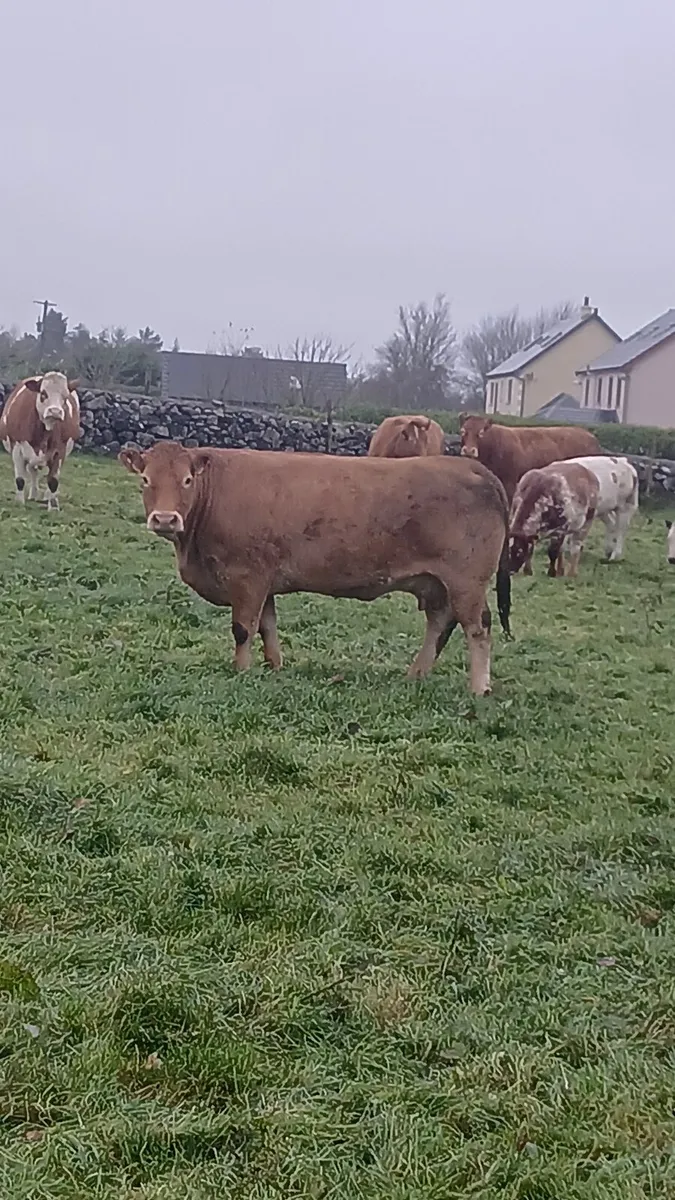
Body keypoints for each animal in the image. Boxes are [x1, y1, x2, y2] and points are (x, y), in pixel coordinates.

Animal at [0, 372, 81, 510]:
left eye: (65, 397)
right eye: (43, 393)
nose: (55, 411)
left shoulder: (60, 450)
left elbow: (53, 480)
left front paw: (53, 506)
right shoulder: (16, 446)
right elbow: (20, 479)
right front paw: (19, 502)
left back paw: (47, 496)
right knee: (33, 472)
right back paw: (33, 494)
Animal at [119, 440, 512, 695]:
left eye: (187, 480)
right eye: (145, 480)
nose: (165, 519)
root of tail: (472, 467)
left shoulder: (247, 578)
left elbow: (243, 629)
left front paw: (241, 671)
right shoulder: (265, 581)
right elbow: (268, 627)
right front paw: (274, 667)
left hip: (466, 581)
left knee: (478, 628)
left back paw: (479, 688)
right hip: (437, 584)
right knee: (440, 624)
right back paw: (416, 674)